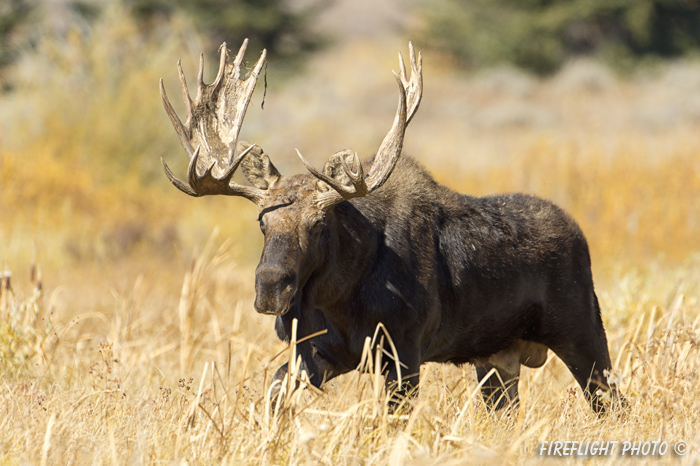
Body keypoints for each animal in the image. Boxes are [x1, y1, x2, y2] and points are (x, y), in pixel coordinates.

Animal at [160, 39, 624, 412]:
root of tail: (579, 235)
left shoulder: (403, 352)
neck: (341, 296)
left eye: (319, 224)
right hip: (498, 360)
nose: (271, 288)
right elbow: (274, 395)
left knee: (614, 402)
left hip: (583, 332)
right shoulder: (320, 354)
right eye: (262, 221)